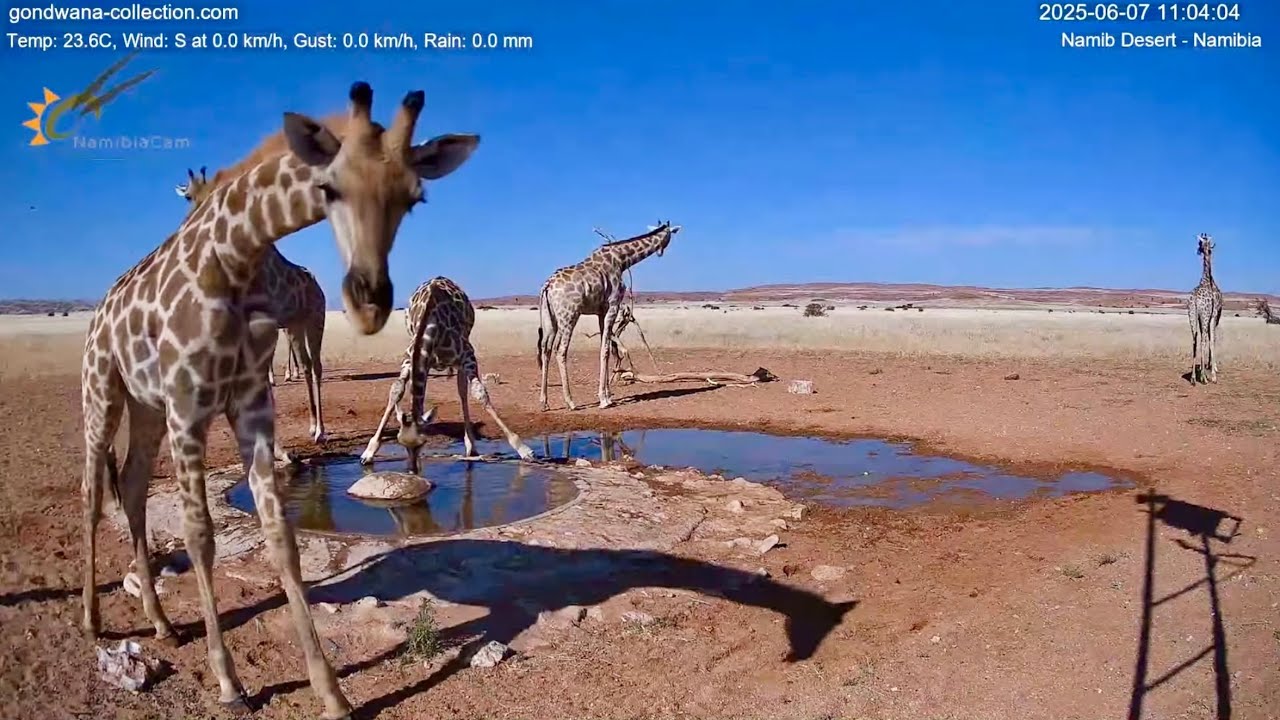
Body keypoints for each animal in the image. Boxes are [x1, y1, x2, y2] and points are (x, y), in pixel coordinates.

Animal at [175, 165, 330, 442]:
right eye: (187, 196)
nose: (190, 222)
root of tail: (319, 289)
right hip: (295, 325)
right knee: (306, 365)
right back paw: (312, 426)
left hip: (316, 320)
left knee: (316, 367)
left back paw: (321, 430)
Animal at [359, 276, 534, 472]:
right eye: (401, 443)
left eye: (423, 442)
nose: (413, 470)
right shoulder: (410, 360)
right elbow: (396, 390)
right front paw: (369, 451)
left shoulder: (467, 355)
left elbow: (479, 393)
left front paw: (523, 449)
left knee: (462, 391)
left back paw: (471, 445)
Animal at [536, 221, 680, 410]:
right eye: (670, 235)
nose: (661, 252)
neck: (622, 260)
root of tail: (547, 286)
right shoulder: (613, 305)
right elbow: (606, 349)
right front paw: (604, 399)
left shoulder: (601, 311)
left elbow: (603, 347)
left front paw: (608, 395)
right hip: (569, 316)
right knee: (560, 351)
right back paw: (570, 401)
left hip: (550, 318)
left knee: (545, 349)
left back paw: (544, 402)